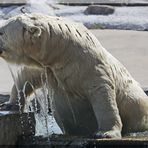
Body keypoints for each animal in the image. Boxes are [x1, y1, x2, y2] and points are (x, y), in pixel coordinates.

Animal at [0, 13, 148, 139]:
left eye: (1, 31)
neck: (63, 52)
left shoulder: (89, 64)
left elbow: (102, 93)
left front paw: (105, 133)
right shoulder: (47, 66)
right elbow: (27, 76)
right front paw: (9, 105)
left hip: (137, 106)